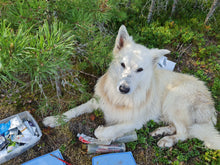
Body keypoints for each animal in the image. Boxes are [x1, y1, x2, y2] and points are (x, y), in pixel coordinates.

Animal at [43, 24, 220, 150]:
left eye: (139, 70)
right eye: (122, 64)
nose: (123, 89)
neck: (119, 99)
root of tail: (210, 102)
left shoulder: (135, 122)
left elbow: (101, 131)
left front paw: (104, 135)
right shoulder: (97, 101)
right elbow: (74, 110)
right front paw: (54, 119)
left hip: (174, 99)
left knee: (185, 133)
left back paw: (167, 140)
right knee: (177, 127)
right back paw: (160, 131)